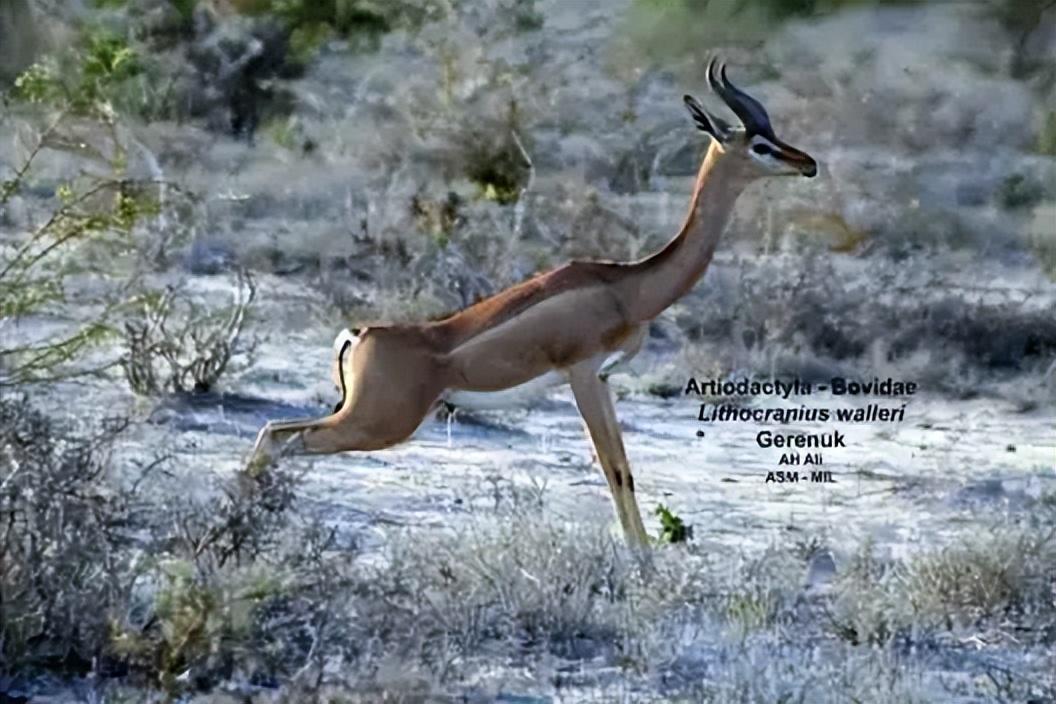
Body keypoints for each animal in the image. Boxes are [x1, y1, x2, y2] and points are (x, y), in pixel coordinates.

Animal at [249, 59, 818, 548]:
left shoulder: (604, 380)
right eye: (761, 144)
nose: (809, 163)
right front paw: (642, 566)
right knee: (281, 437)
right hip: (378, 423)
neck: (627, 286)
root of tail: (361, 333)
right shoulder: (583, 375)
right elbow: (614, 471)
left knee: (278, 434)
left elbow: (625, 471)